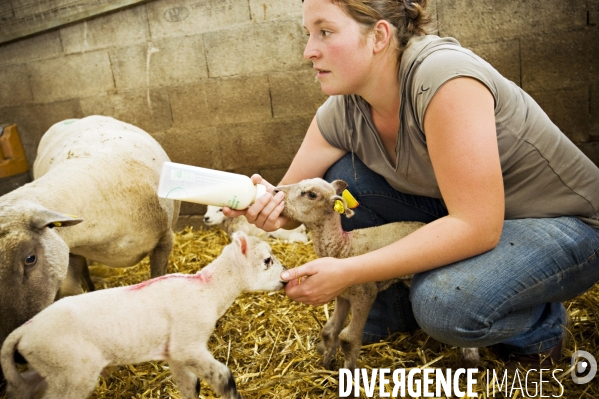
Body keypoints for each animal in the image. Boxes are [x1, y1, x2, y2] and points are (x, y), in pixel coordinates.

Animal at [0, 231, 286, 399]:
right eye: (267, 260)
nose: (285, 279)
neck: (209, 288)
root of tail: (24, 329)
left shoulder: (174, 352)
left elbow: (189, 385)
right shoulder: (187, 344)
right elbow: (224, 378)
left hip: (52, 367)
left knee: (26, 386)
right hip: (73, 372)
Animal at [274, 180, 480, 370]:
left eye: (311, 194)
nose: (276, 190)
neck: (343, 248)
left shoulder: (365, 295)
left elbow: (348, 339)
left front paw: (349, 376)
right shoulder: (343, 296)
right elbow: (329, 331)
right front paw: (326, 365)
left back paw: (470, 357)